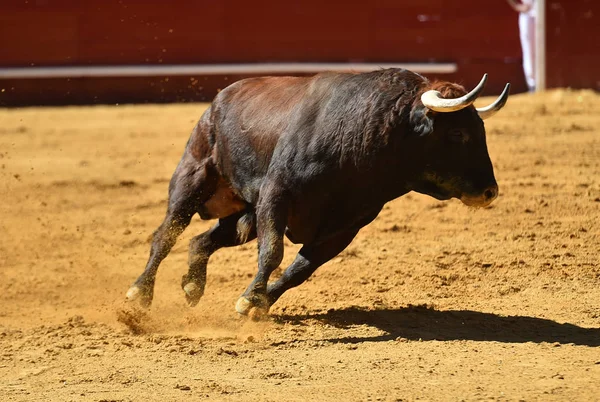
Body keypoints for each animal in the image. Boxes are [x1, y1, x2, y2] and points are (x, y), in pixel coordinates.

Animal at [124, 67, 508, 318]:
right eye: (458, 134)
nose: (490, 191)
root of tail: (220, 98)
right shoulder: (276, 195)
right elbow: (274, 253)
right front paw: (251, 299)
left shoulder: (346, 226)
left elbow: (300, 270)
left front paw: (257, 303)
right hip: (193, 176)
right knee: (167, 234)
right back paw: (138, 296)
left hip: (243, 213)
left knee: (201, 241)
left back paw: (192, 286)